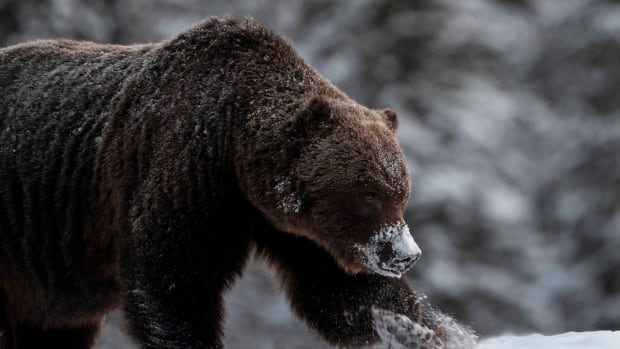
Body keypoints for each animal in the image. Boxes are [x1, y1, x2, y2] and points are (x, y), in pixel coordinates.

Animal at [0, 17, 438, 348]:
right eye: (368, 195)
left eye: (401, 193)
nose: (406, 254)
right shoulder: (188, 173)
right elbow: (174, 280)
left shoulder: (284, 224)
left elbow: (338, 292)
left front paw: (414, 320)